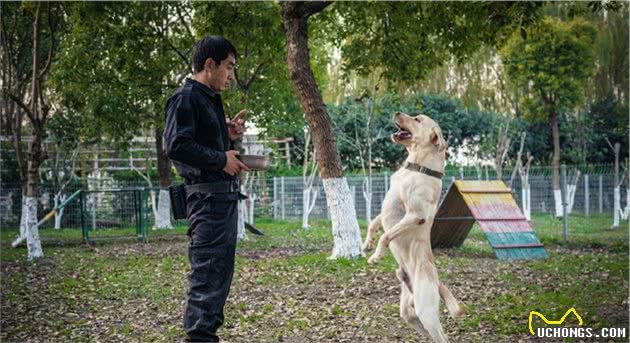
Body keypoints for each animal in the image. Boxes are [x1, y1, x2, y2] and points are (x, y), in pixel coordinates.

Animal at [366, 112, 464, 342]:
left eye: (418, 119)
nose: (396, 112)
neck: (418, 167)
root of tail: (438, 283)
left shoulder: (415, 215)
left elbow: (386, 236)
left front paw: (376, 255)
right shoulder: (387, 208)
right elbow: (374, 224)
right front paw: (366, 245)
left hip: (425, 310)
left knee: (442, 336)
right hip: (409, 312)